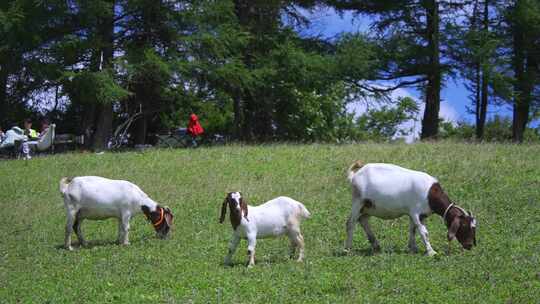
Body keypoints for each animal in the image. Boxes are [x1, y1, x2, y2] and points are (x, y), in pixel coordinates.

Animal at [346, 162, 476, 256]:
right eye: (464, 226)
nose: (470, 245)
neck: (430, 194)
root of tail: (355, 176)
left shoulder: (418, 214)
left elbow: (413, 229)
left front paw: (413, 248)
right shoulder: (416, 213)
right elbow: (424, 232)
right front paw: (431, 252)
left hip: (369, 207)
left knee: (363, 220)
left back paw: (376, 246)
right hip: (358, 201)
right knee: (350, 223)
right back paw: (347, 249)